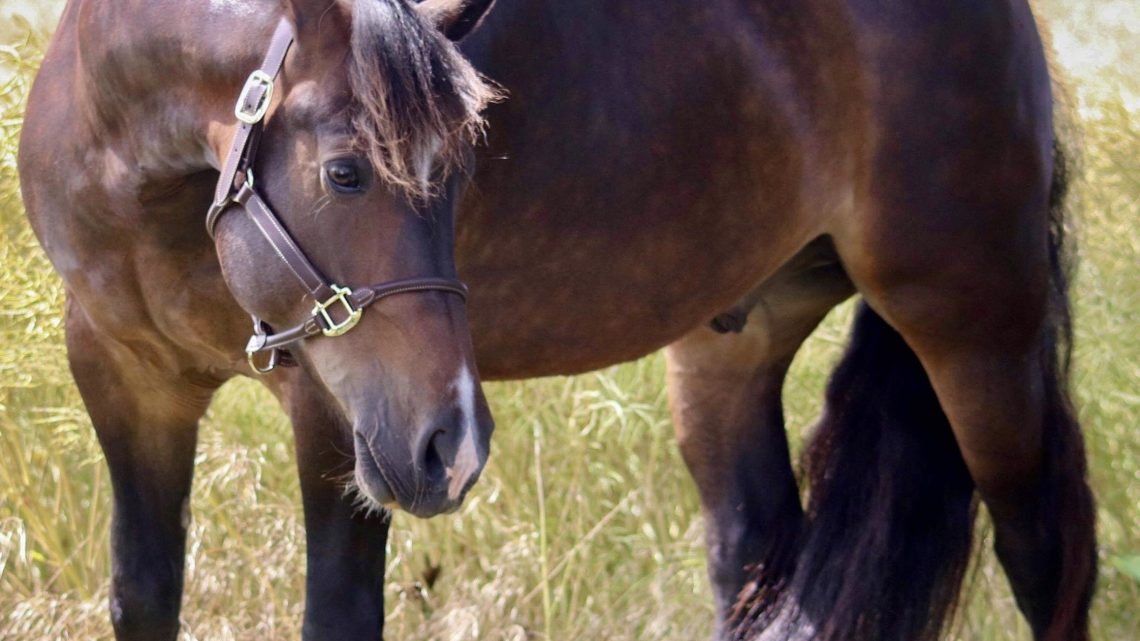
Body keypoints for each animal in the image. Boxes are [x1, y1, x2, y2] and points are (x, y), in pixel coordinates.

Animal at [17, 1, 1094, 638]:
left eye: (463, 175)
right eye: (347, 172)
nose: (452, 443)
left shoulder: (335, 414)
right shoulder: (123, 377)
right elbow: (143, 593)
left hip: (975, 322)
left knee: (1046, 551)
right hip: (731, 350)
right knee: (753, 553)